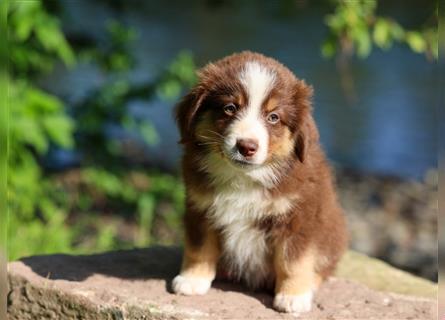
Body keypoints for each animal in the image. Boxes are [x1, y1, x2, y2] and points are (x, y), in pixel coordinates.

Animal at [171, 51, 346, 314]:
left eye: (273, 117)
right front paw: (192, 279)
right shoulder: (199, 208)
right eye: (230, 108)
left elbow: (293, 260)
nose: (247, 147)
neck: (244, 178)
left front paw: (293, 296)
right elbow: (199, 247)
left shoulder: (298, 217)